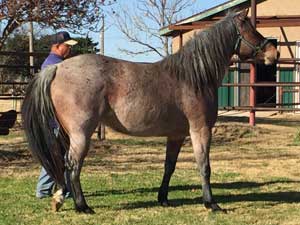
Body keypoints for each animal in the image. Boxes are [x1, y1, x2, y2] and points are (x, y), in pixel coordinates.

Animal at [21, 10, 278, 214]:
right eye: (251, 30)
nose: (273, 53)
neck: (193, 77)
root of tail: (57, 68)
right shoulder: (201, 130)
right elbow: (204, 167)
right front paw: (211, 204)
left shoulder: (176, 135)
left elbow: (169, 167)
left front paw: (163, 198)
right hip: (81, 134)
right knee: (73, 165)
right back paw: (82, 206)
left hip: (67, 133)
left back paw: (61, 198)